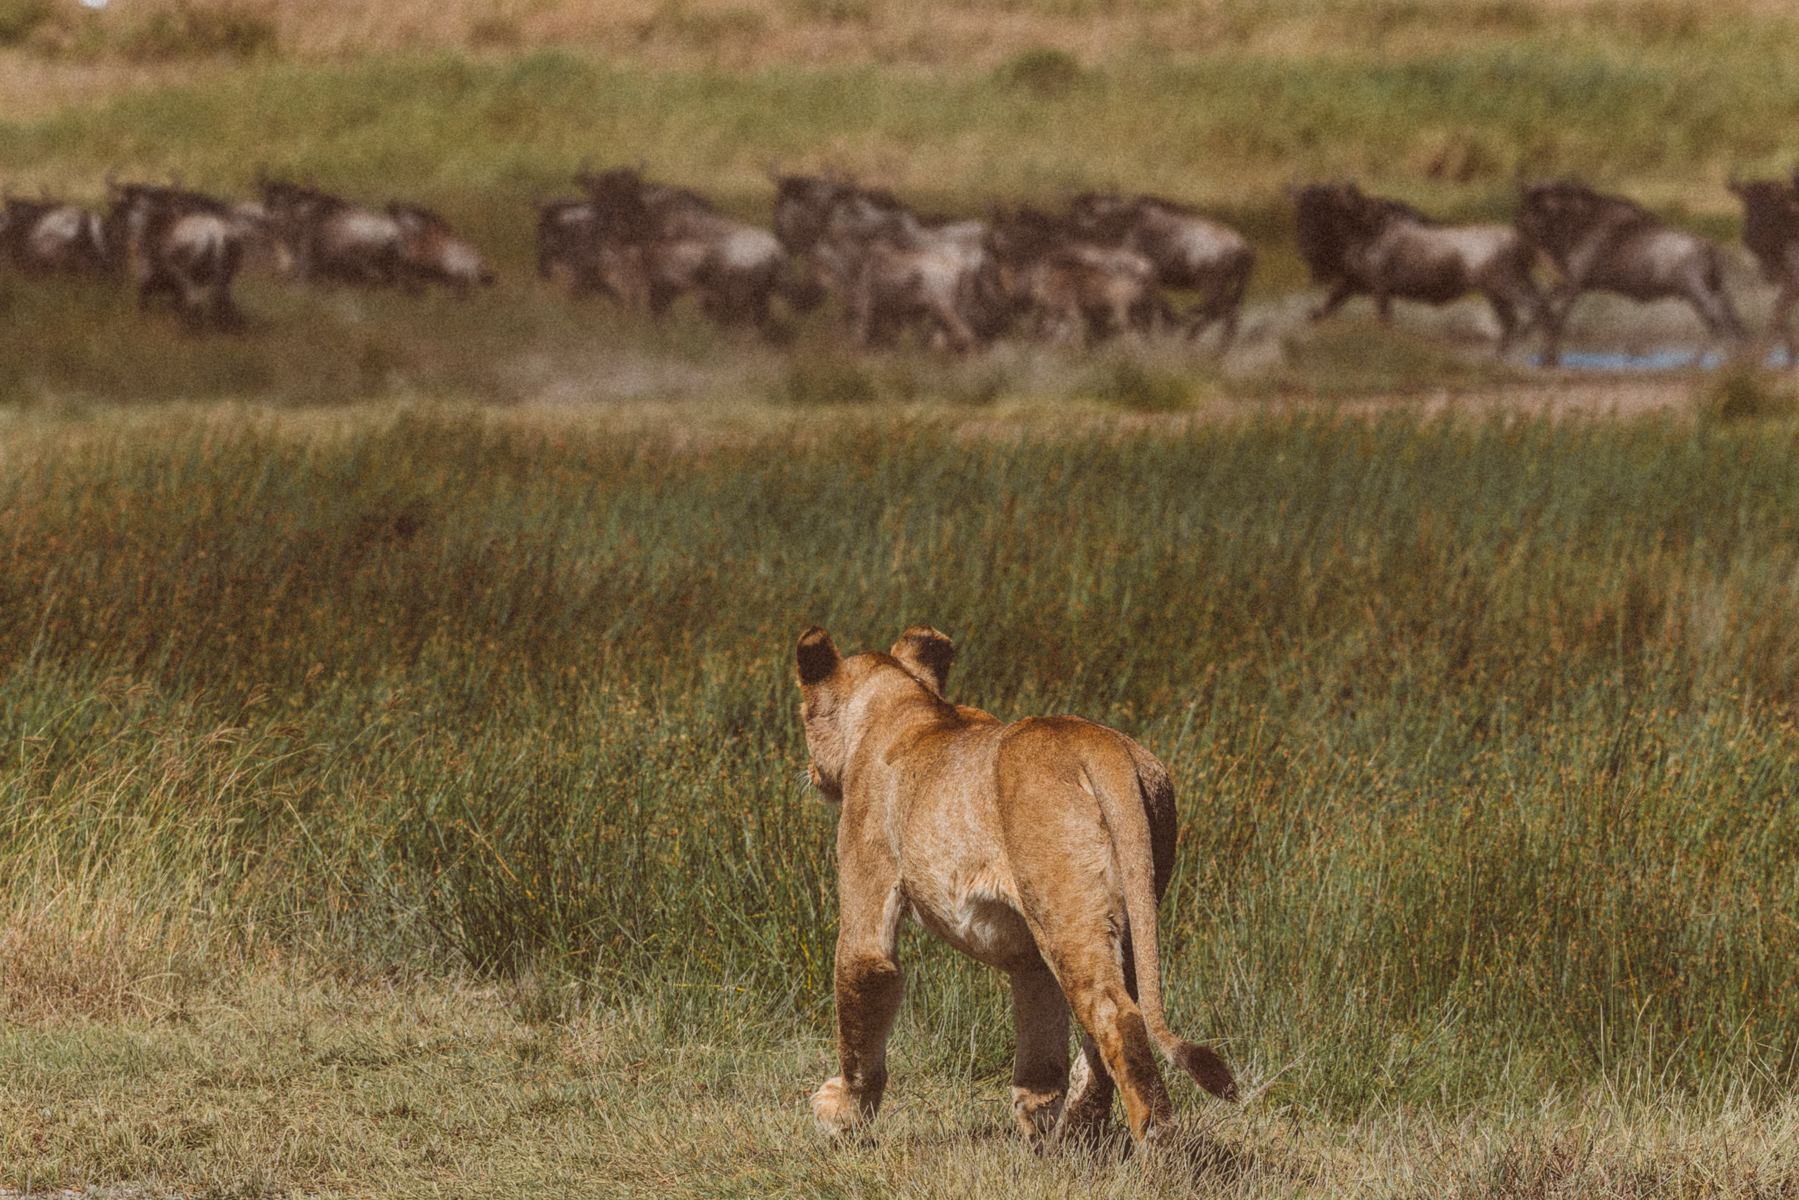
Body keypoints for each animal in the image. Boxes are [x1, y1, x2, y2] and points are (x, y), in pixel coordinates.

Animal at [796, 624, 1238, 1147]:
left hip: (1067, 911)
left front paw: (840, 1114)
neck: (905, 702)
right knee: (1106, 1019)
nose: (811, 772)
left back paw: (1154, 1141)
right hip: (1120, 904)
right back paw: (1077, 1133)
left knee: (1117, 1016)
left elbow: (861, 994)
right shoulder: (1027, 955)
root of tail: (1099, 745)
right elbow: (1040, 1037)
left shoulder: (868, 883)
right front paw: (1038, 1114)